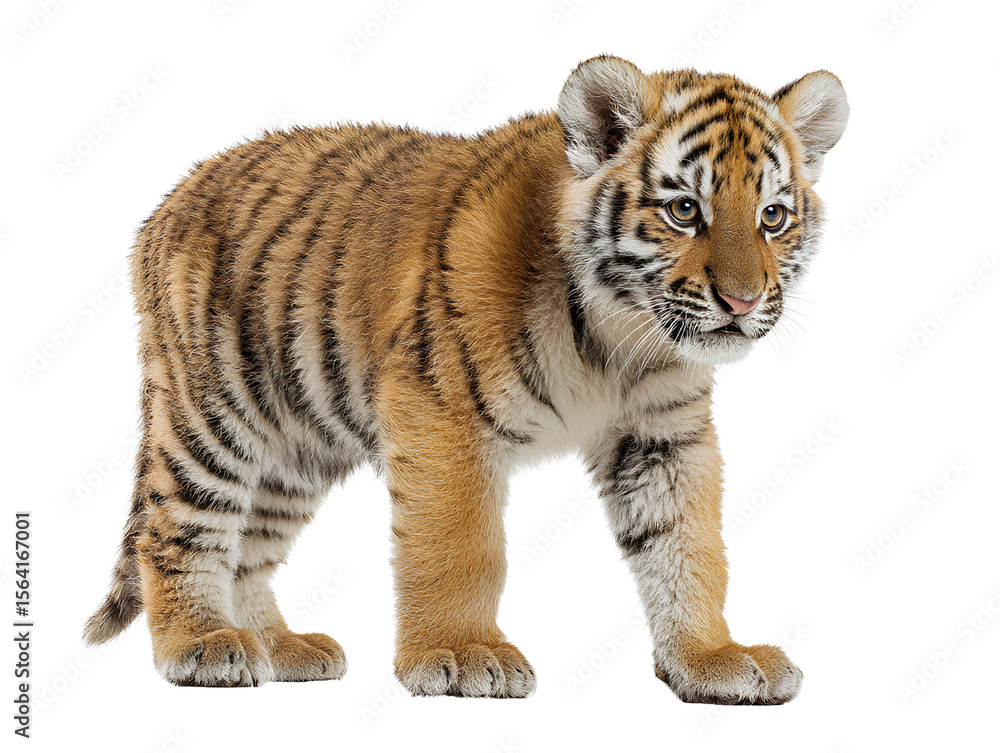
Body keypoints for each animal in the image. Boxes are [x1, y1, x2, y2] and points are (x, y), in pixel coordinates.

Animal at [83, 55, 848, 704]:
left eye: (772, 216)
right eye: (684, 209)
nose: (742, 302)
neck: (620, 334)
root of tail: (166, 203)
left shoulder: (664, 436)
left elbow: (688, 545)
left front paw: (711, 657)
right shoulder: (441, 413)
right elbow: (460, 542)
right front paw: (459, 653)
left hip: (297, 444)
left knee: (250, 547)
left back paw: (276, 646)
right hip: (215, 412)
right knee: (177, 528)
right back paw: (202, 643)